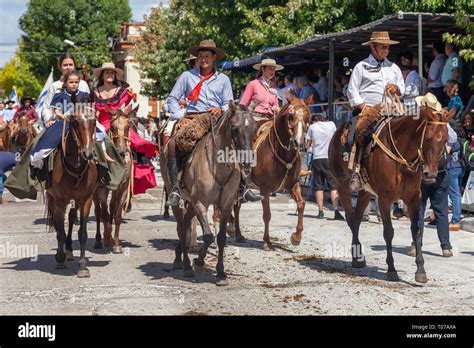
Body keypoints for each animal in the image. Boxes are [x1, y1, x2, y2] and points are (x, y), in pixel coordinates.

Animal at [46, 106, 98, 278]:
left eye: (94, 121)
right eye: (75, 122)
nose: (88, 153)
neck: (76, 168)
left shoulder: (86, 200)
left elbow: (82, 233)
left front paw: (83, 266)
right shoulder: (59, 200)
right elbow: (60, 229)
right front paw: (59, 258)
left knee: (71, 218)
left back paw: (68, 250)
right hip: (51, 197)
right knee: (58, 224)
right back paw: (62, 254)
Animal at [93, 106, 132, 253]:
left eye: (128, 126)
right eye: (113, 127)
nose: (121, 151)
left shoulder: (123, 189)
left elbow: (117, 215)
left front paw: (116, 243)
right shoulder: (102, 190)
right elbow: (104, 213)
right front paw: (106, 238)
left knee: (112, 207)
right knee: (98, 212)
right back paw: (99, 240)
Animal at [159, 101, 256, 286]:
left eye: (254, 126)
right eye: (234, 128)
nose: (247, 161)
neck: (217, 165)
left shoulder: (225, 205)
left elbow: (220, 237)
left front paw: (220, 273)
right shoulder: (200, 203)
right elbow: (208, 236)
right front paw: (198, 261)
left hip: (191, 203)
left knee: (186, 223)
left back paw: (179, 255)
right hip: (178, 199)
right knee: (181, 228)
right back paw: (185, 264)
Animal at [231, 95, 312, 250]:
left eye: (308, 117)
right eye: (291, 116)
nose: (299, 142)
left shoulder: (293, 184)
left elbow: (301, 204)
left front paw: (296, 237)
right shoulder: (265, 189)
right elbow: (267, 215)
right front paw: (267, 242)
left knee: (237, 206)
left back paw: (237, 234)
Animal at [330, 104, 456, 282]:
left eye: (445, 140)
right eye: (427, 138)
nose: (431, 174)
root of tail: (338, 132)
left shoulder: (414, 198)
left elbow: (417, 231)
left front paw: (420, 271)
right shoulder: (384, 198)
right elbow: (388, 232)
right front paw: (391, 269)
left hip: (365, 192)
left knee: (357, 219)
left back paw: (358, 257)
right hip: (342, 186)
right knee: (350, 218)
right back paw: (357, 257)